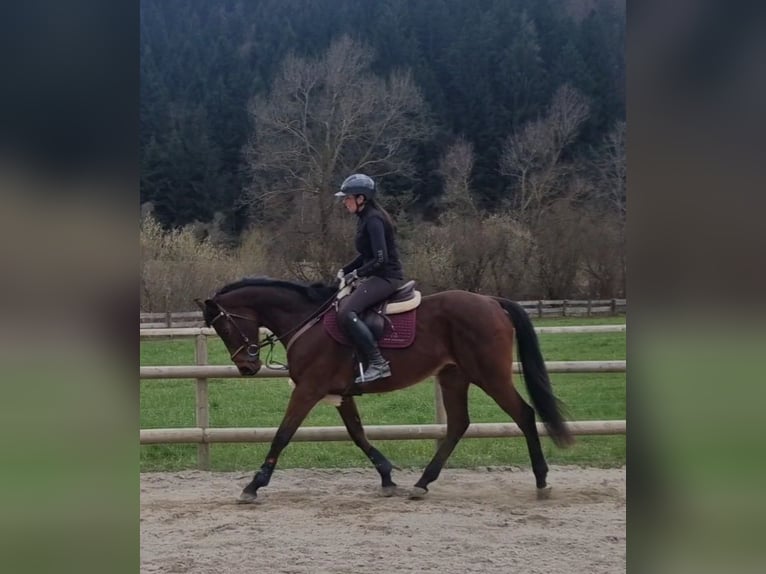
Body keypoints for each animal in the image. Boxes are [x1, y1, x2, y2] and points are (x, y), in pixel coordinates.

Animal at [196, 277, 573, 503]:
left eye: (224, 328)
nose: (247, 367)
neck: (307, 321)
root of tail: (492, 302)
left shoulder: (308, 390)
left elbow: (282, 435)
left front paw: (254, 484)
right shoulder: (341, 393)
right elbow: (357, 434)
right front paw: (387, 475)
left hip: (489, 375)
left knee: (524, 414)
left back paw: (541, 480)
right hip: (454, 376)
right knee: (457, 424)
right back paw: (422, 483)